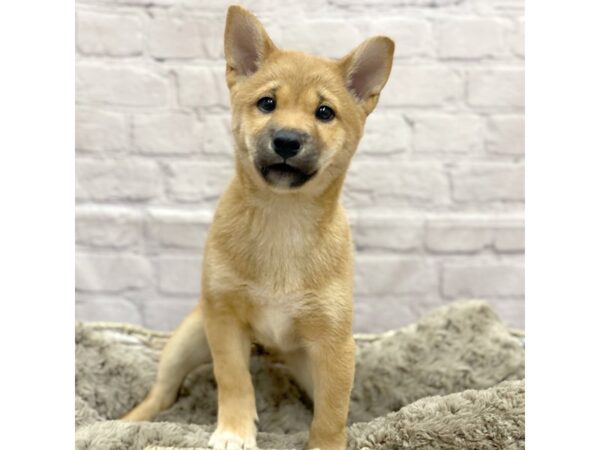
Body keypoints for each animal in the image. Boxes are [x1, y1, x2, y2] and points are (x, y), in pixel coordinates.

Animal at [122, 4, 394, 450]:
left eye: (324, 112)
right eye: (267, 103)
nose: (287, 140)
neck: (282, 218)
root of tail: (270, 353)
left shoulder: (333, 344)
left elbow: (331, 412)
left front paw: (326, 441)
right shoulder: (224, 320)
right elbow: (233, 379)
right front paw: (234, 430)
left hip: (305, 363)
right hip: (190, 338)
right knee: (162, 392)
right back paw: (130, 420)